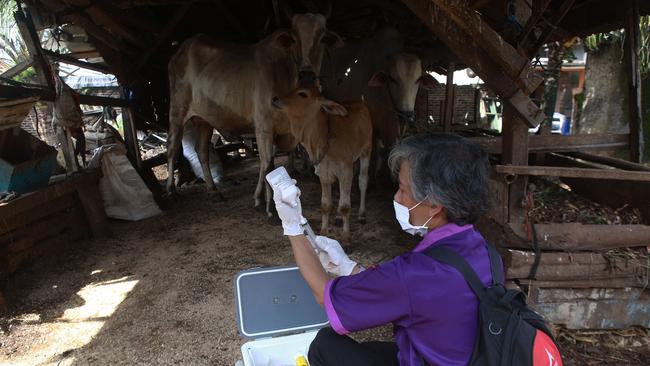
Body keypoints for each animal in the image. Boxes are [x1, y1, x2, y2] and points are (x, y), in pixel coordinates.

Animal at [165, 14, 342, 216]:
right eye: (294, 38)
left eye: (323, 38)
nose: (306, 74)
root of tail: (183, 48)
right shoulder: (264, 126)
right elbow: (267, 163)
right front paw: (268, 206)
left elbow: (270, 163)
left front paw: (262, 199)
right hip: (177, 111)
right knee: (172, 147)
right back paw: (171, 191)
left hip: (205, 120)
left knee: (202, 152)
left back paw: (213, 190)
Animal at [270, 87, 370, 243]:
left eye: (303, 94)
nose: (275, 98)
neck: (323, 139)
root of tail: (360, 102)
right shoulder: (324, 173)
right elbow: (325, 205)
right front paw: (324, 231)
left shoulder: (345, 171)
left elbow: (345, 206)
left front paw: (346, 234)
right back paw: (337, 217)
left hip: (366, 151)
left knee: (362, 182)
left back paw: (361, 214)